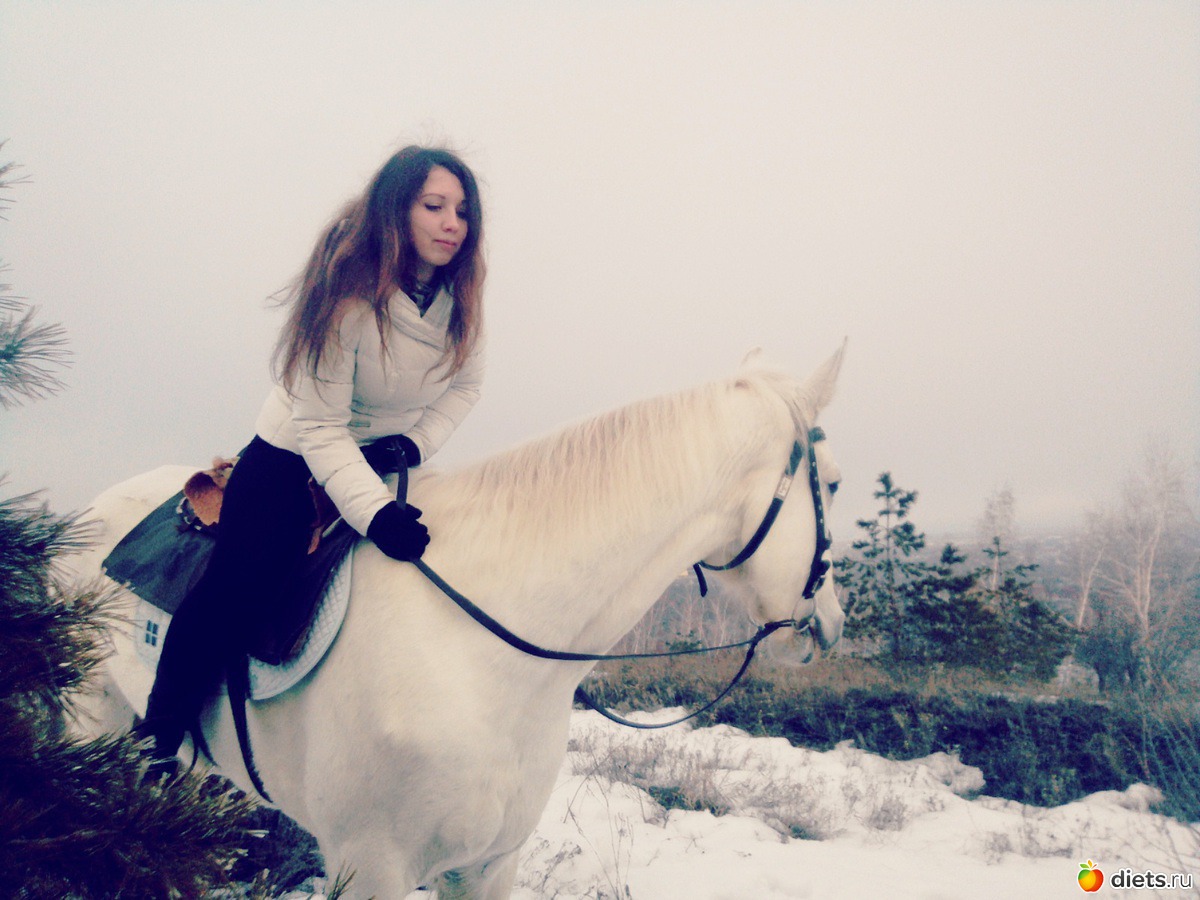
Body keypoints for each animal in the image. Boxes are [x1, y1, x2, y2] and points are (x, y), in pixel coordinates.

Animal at [68, 346, 846, 899]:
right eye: (835, 484)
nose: (831, 625)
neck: (478, 658)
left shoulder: (488, 868)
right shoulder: (370, 868)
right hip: (92, 725)